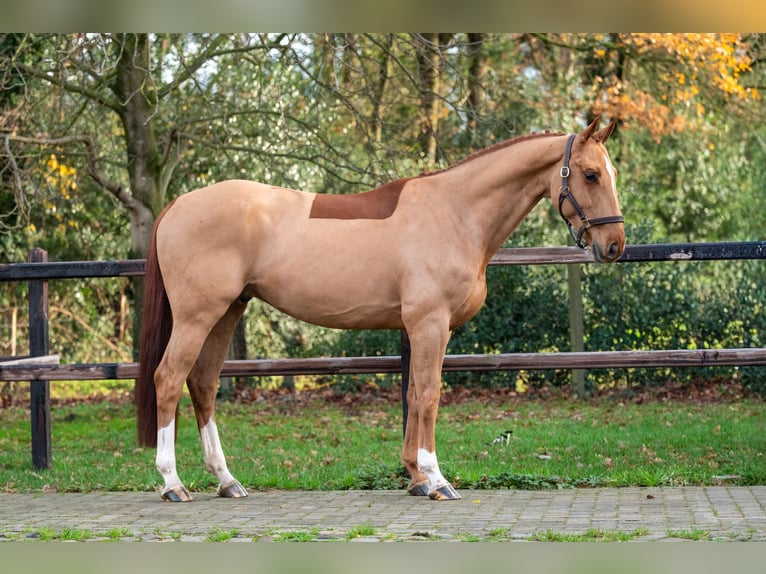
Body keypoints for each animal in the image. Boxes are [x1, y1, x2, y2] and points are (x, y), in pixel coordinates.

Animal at [135, 116, 625, 502]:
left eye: (610, 172)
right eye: (590, 175)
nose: (615, 245)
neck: (454, 212)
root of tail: (179, 203)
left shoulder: (424, 327)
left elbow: (413, 393)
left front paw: (415, 478)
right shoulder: (430, 323)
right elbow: (429, 395)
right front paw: (436, 478)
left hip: (226, 313)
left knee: (203, 385)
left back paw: (226, 480)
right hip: (197, 316)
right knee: (169, 379)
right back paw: (172, 483)